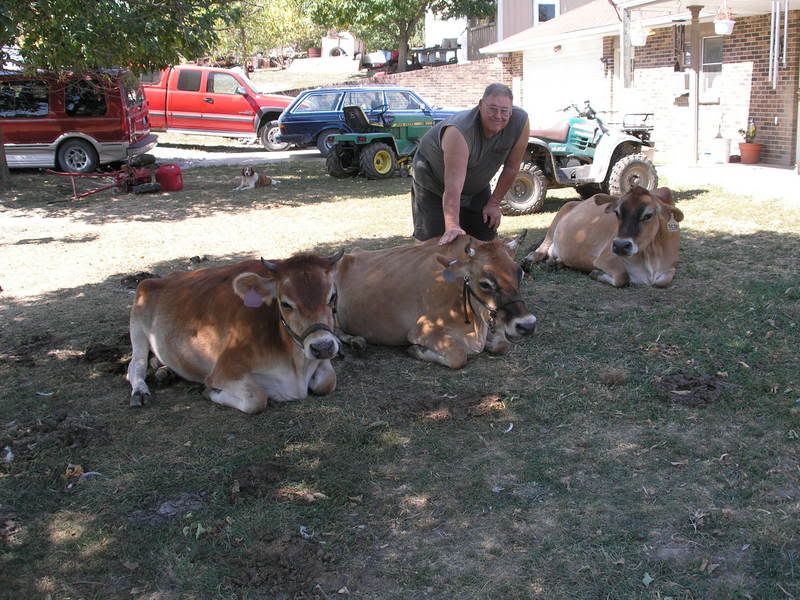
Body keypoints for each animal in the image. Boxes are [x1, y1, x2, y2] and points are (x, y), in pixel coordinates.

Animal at [126, 251, 343, 414]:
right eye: (285, 303)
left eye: (333, 297)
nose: (322, 347)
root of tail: (164, 278)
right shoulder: (224, 369)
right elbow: (257, 398)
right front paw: (209, 392)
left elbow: (328, 381)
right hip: (137, 325)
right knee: (135, 364)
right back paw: (140, 391)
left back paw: (165, 371)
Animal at [334, 235, 537, 369]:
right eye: (485, 283)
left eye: (520, 273)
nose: (527, 325)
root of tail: (350, 254)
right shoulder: (422, 330)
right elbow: (459, 356)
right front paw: (416, 350)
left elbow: (503, 345)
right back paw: (355, 341)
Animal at [524, 186, 683, 288]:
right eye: (617, 213)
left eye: (648, 215)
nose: (620, 245)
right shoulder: (604, 259)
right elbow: (622, 277)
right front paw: (595, 273)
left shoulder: (669, 267)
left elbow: (662, 281)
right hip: (558, 218)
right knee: (541, 249)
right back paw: (530, 260)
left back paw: (556, 263)